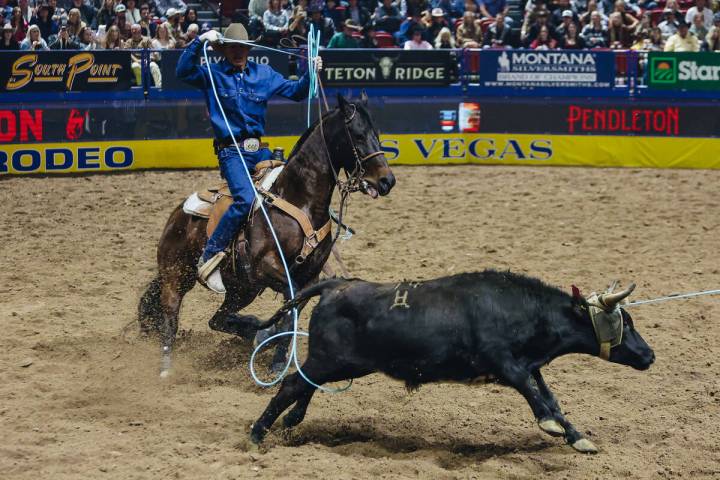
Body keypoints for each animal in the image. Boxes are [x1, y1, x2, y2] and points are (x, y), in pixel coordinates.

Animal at [138, 93, 396, 376]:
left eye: (377, 134)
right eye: (357, 135)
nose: (387, 180)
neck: (300, 200)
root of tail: (176, 215)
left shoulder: (310, 276)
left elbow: (290, 315)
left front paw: (277, 357)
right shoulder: (264, 266)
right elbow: (288, 305)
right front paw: (273, 348)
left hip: (242, 289)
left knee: (217, 319)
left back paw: (252, 331)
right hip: (175, 274)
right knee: (170, 316)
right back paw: (166, 369)